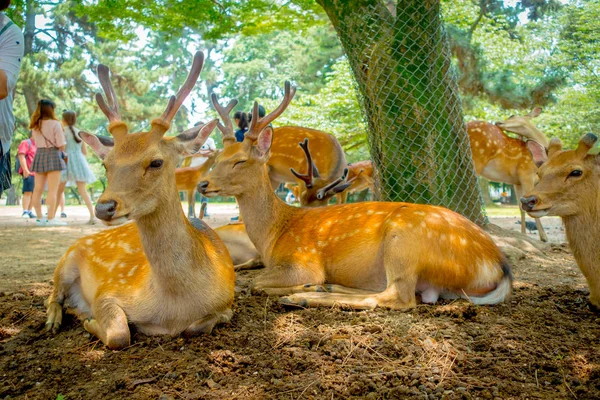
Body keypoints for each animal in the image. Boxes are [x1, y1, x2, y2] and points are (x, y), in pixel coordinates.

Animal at [44, 51, 237, 348]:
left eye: (156, 162)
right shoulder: (109, 290)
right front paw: (90, 321)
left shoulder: (228, 302)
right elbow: (120, 334)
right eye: (106, 164)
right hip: (64, 261)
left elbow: (196, 328)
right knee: (52, 295)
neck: (174, 307)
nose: (104, 207)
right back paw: (55, 320)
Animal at [199, 82, 512, 310]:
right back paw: (325, 288)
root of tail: (500, 265)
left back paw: (303, 296)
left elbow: (255, 283)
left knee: (398, 297)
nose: (203, 184)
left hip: (405, 241)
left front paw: (303, 287)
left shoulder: (302, 260)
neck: (274, 235)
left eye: (240, 161)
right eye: (218, 157)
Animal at [466, 106, 552, 242]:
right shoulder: (526, 174)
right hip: (477, 159)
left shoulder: (517, 181)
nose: (498, 122)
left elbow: (521, 206)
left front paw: (523, 234)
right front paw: (544, 237)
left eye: (512, 115)